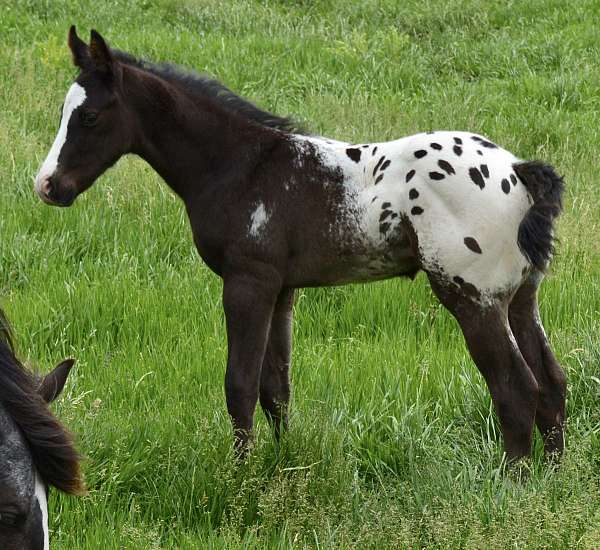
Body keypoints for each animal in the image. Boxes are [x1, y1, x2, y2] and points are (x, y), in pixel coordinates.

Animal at [34, 28, 568, 464]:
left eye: (89, 116)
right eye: (62, 112)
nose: (47, 186)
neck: (242, 166)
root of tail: (517, 171)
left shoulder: (247, 283)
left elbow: (240, 385)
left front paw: (241, 478)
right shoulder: (282, 290)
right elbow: (276, 388)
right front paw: (283, 464)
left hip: (474, 298)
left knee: (516, 390)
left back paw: (511, 486)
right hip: (521, 298)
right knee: (552, 385)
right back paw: (550, 478)